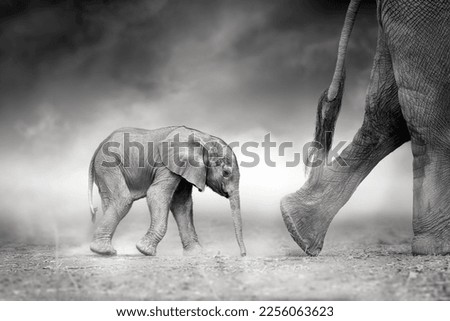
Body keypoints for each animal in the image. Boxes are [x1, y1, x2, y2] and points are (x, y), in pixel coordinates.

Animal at [88, 124, 246, 255]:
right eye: (226, 172)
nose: (243, 255)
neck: (203, 137)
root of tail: (99, 145)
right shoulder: (167, 164)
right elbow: (157, 194)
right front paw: (145, 251)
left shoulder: (186, 169)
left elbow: (182, 204)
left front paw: (198, 254)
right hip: (108, 163)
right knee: (123, 198)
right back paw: (104, 251)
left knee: (109, 201)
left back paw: (104, 251)